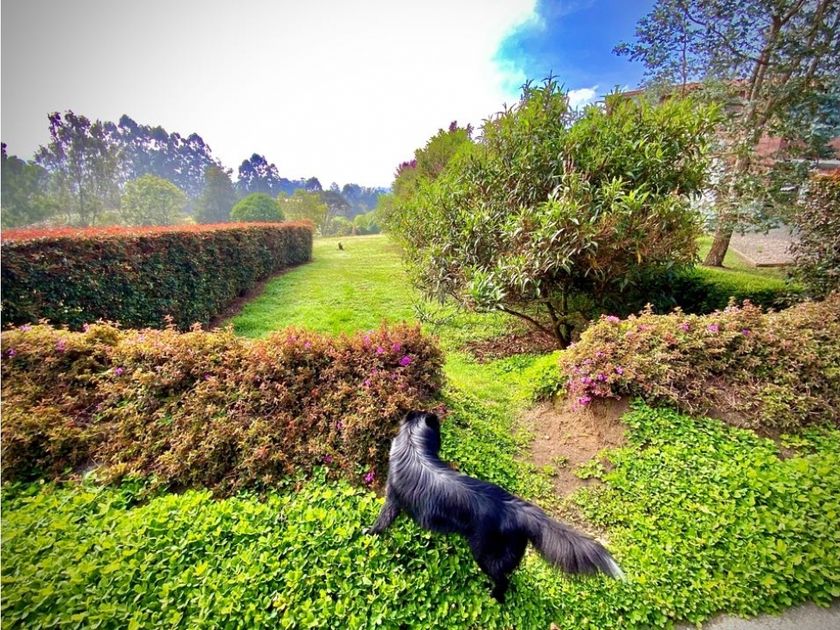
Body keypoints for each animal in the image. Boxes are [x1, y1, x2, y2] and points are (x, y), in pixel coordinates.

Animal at [367, 410, 624, 602]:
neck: (413, 447)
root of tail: (519, 509)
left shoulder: (391, 501)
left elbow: (380, 523)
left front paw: (369, 534)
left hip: (485, 555)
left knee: (502, 579)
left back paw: (496, 597)